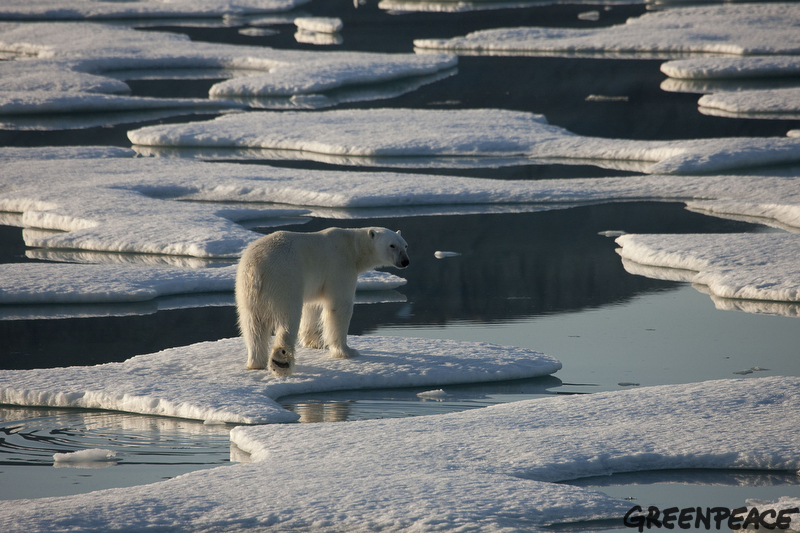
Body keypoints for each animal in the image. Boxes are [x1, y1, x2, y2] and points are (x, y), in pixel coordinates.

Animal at [234, 227, 410, 376]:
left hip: (246, 289)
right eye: (392, 245)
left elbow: (312, 307)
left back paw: (256, 362)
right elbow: (339, 307)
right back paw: (281, 362)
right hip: (284, 279)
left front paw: (315, 343)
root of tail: (257, 268)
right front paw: (347, 351)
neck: (353, 247)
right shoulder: (340, 266)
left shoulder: (316, 281)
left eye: (405, 245)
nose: (405, 261)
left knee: (252, 324)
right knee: (288, 317)